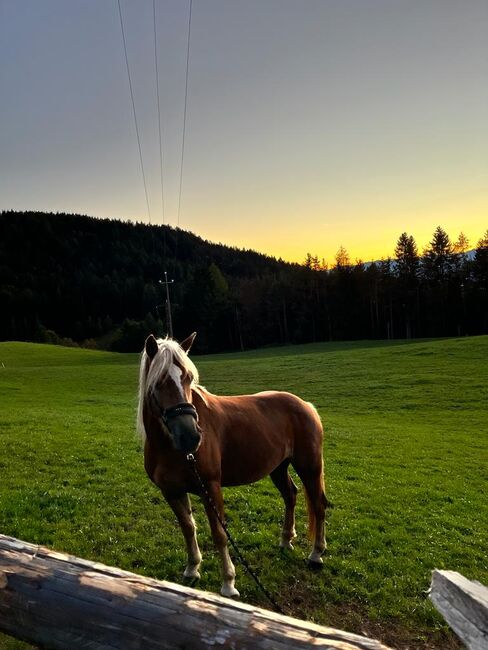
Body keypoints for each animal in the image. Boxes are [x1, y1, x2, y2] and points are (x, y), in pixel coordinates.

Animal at [137, 332, 328, 596]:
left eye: (188, 378)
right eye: (159, 382)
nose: (190, 436)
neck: (170, 448)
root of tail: (305, 405)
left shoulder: (210, 487)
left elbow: (219, 534)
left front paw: (228, 583)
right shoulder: (171, 492)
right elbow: (188, 528)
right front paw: (192, 569)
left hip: (309, 466)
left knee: (318, 505)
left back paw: (316, 554)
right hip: (278, 468)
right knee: (290, 495)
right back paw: (286, 540)